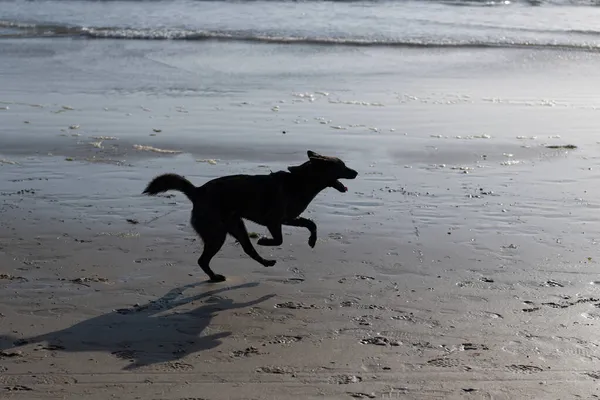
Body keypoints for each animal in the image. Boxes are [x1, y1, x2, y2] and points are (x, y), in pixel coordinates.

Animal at [142, 150, 356, 282]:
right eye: (342, 166)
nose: (356, 172)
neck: (301, 182)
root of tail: (197, 192)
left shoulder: (288, 218)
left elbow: (311, 224)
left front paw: (312, 241)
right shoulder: (273, 220)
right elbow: (279, 239)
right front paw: (264, 241)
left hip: (235, 226)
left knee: (247, 250)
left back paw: (265, 262)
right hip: (217, 234)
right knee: (203, 260)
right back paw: (215, 277)